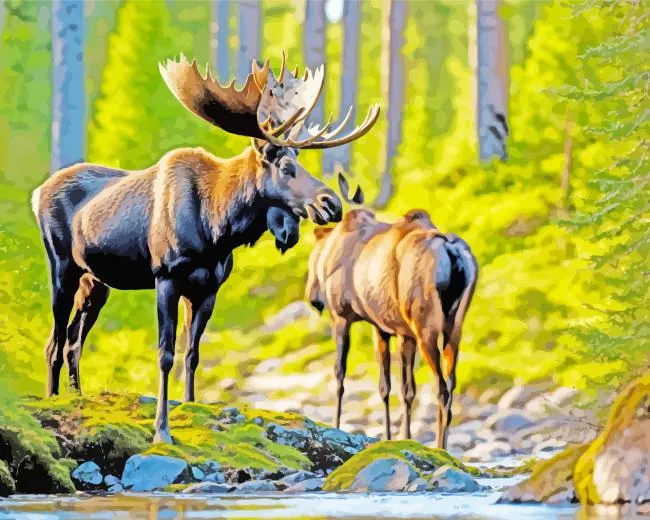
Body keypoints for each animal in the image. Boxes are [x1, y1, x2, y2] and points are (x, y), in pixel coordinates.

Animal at [32, 53, 380, 443]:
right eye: (286, 167)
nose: (331, 204)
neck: (218, 229)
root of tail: (37, 193)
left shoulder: (208, 288)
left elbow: (193, 354)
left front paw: (189, 408)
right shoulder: (166, 277)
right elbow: (166, 354)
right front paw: (162, 431)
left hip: (96, 282)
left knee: (73, 340)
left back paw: (77, 398)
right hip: (62, 267)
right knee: (54, 342)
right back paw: (53, 399)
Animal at [305, 202, 477, 449]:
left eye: (311, 262)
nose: (313, 298)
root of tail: (452, 253)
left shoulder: (345, 318)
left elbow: (346, 377)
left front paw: (338, 425)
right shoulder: (399, 333)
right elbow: (404, 389)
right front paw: (403, 437)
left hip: (426, 330)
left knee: (442, 390)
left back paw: (439, 447)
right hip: (454, 328)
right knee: (451, 384)